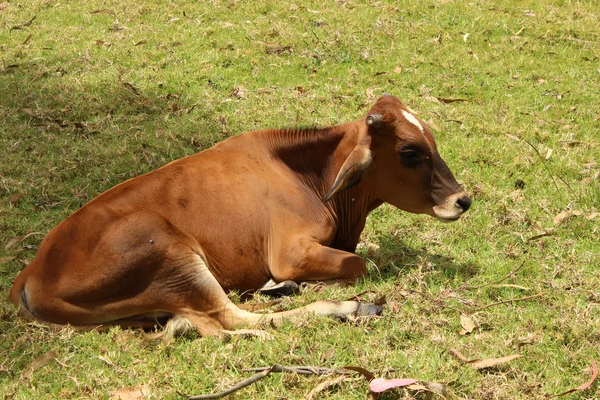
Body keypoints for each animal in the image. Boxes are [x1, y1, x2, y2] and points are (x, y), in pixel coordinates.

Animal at [8, 95, 468, 336]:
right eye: (410, 152)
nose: (462, 199)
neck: (307, 175)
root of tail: (31, 272)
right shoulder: (289, 252)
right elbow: (360, 263)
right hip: (168, 250)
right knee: (230, 320)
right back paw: (344, 308)